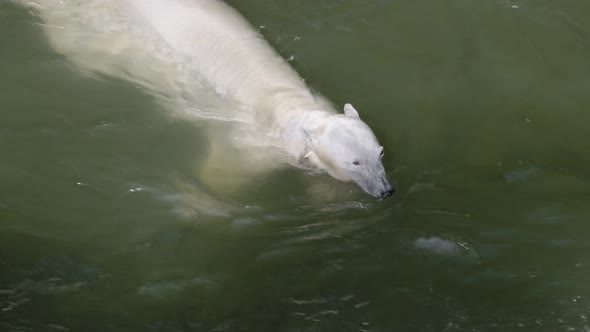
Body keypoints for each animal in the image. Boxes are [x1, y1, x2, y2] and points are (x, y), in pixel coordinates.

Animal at [18, 0, 396, 197]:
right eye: (355, 162)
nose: (385, 190)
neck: (290, 108)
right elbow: (223, 176)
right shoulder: (251, 146)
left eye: (378, 153)